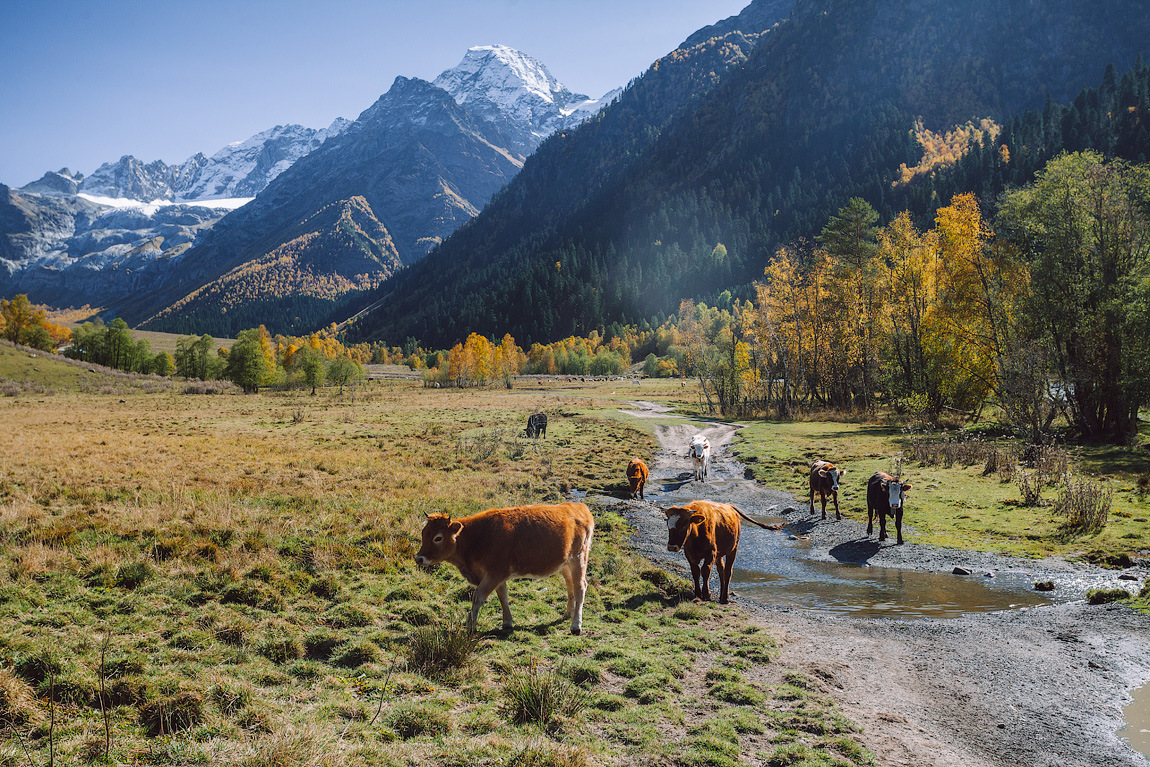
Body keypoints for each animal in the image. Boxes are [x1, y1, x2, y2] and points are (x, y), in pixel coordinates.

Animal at [414, 501, 593, 634]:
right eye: (423, 534)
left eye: (438, 538)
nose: (418, 558)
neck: (475, 538)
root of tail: (578, 507)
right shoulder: (498, 576)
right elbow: (502, 596)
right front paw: (507, 622)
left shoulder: (495, 573)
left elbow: (478, 596)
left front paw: (470, 626)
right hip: (566, 563)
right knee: (570, 585)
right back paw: (568, 613)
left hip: (579, 558)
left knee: (580, 586)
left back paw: (576, 625)